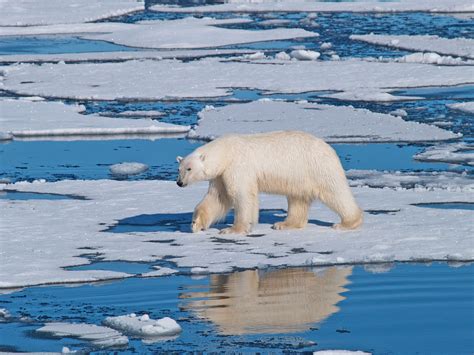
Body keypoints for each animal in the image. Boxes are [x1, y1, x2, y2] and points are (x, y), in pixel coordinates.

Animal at [178, 132, 362, 235]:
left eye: (189, 168)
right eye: (179, 169)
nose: (179, 182)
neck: (226, 152)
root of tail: (329, 148)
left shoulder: (238, 166)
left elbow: (241, 195)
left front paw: (232, 229)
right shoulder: (221, 175)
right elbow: (217, 198)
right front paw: (195, 224)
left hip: (317, 167)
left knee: (335, 192)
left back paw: (347, 223)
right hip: (300, 176)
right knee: (297, 199)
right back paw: (284, 224)